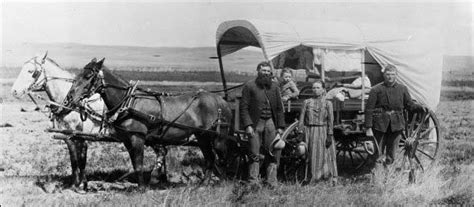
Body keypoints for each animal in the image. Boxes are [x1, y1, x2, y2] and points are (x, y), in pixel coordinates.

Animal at [10, 52, 107, 192]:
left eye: (31, 71)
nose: (14, 91)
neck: (72, 104)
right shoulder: (67, 136)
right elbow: (74, 160)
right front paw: (74, 184)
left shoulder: (81, 137)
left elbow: (82, 160)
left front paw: (83, 185)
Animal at [65, 57, 232, 188]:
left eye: (88, 76)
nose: (69, 98)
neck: (128, 102)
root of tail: (221, 101)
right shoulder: (127, 140)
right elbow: (135, 164)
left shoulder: (138, 138)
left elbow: (139, 164)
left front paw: (141, 188)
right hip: (202, 136)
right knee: (210, 158)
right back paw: (204, 184)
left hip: (218, 137)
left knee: (223, 157)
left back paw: (224, 183)